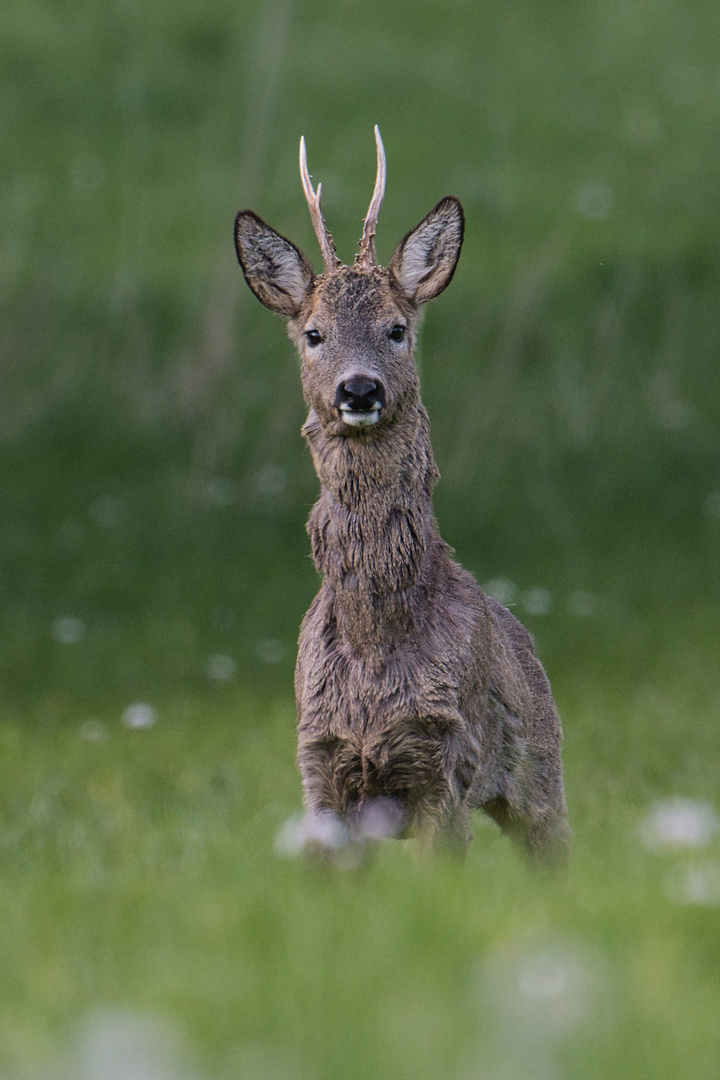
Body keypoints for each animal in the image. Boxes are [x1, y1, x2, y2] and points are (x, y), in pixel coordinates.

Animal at [234, 130, 569, 864]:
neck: (373, 650)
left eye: (397, 328)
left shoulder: (446, 756)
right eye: (314, 333)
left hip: (541, 766)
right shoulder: (318, 762)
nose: (359, 389)